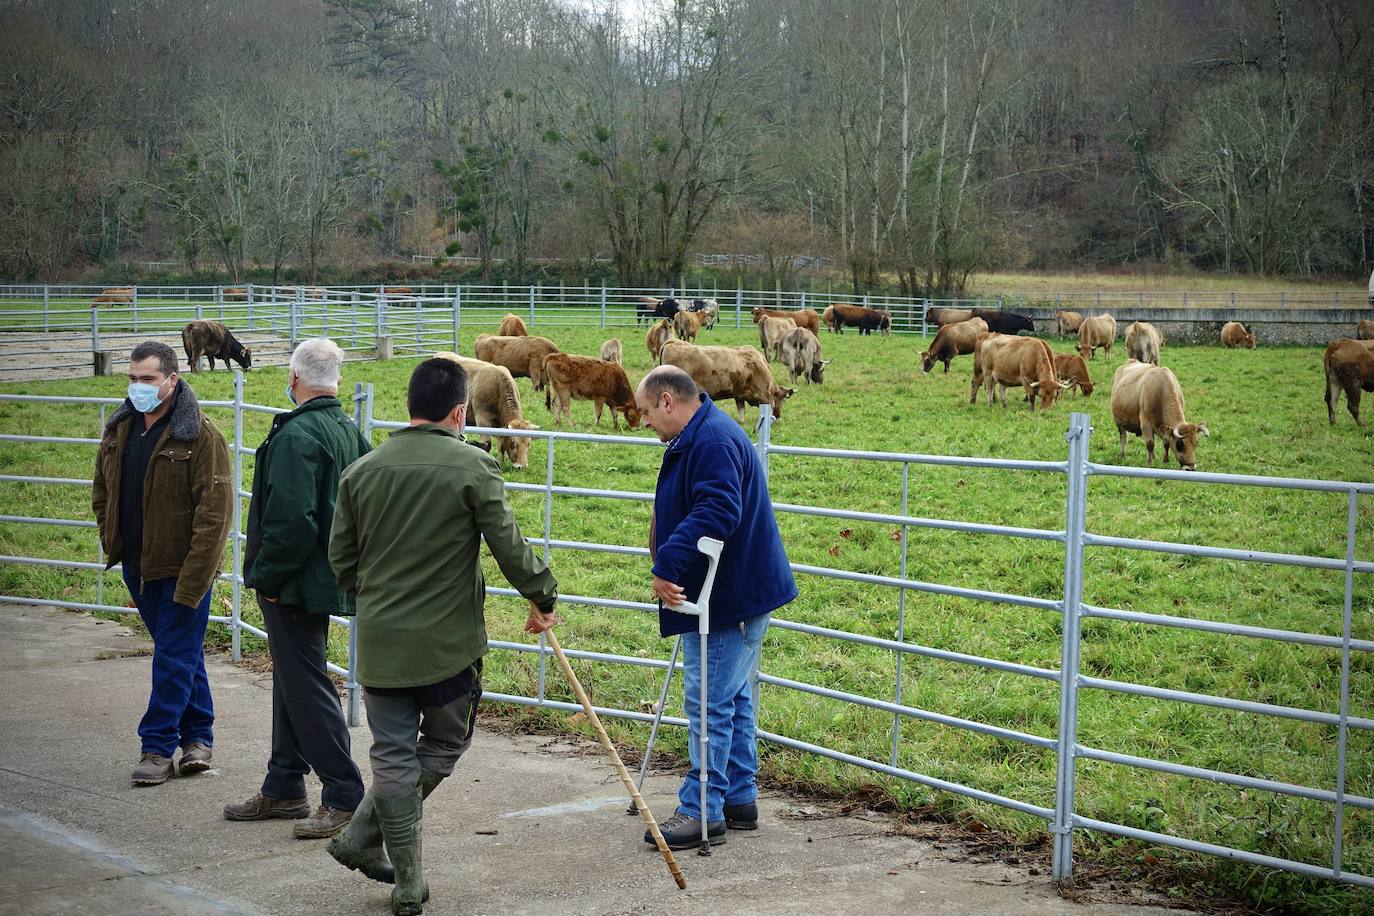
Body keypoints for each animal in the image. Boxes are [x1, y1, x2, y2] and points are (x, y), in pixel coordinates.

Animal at [662, 340, 802, 420]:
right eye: (783, 400)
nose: (778, 416)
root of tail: (673, 342)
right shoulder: (765, 396)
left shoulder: (739, 396)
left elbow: (741, 415)